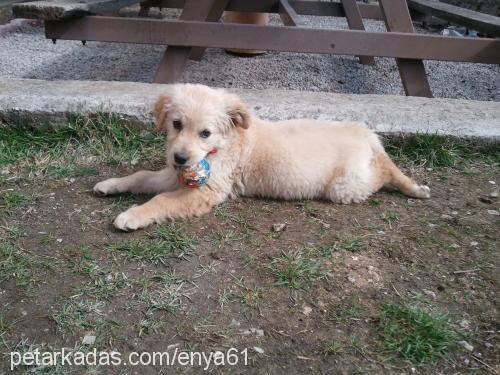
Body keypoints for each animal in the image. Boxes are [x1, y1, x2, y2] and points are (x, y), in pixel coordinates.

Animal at [94, 84, 430, 232]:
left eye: (205, 133)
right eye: (176, 124)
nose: (179, 157)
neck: (226, 143)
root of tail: (366, 134)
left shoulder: (207, 189)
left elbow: (161, 200)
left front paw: (131, 216)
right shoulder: (176, 173)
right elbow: (141, 177)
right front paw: (111, 184)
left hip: (346, 186)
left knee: (384, 171)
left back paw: (414, 187)